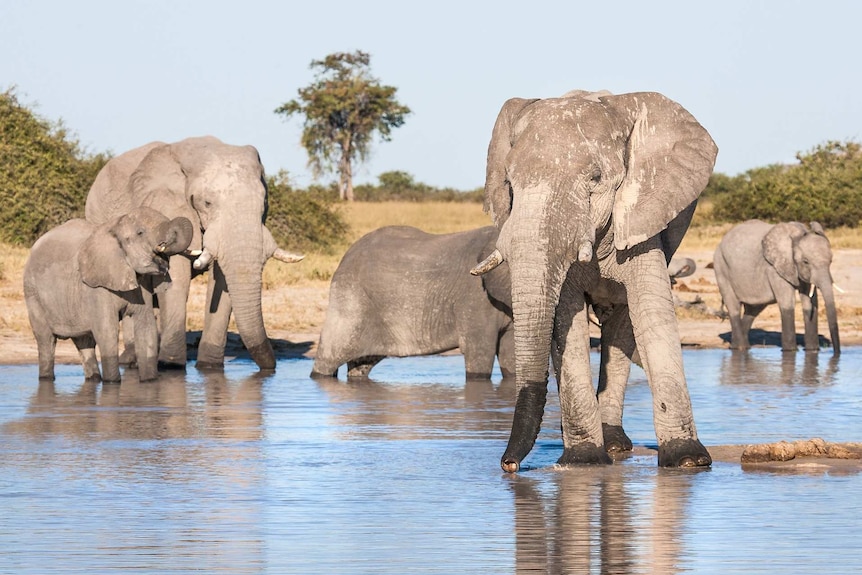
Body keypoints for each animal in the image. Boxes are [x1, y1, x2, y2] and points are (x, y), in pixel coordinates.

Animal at [23, 206, 194, 382]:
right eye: (140, 233)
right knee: (46, 340)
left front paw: (149, 382)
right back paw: (46, 378)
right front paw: (112, 383)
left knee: (85, 342)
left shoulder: (143, 283)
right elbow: (107, 331)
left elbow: (146, 328)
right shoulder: (96, 287)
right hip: (33, 293)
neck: (115, 227)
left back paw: (94, 379)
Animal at [82, 138, 302, 374]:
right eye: (207, 203)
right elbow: (177, 277)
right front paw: (171, 367)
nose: (271, 369)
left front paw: (209, 368)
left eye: (263, 203)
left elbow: (222, 282)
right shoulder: (167, 206)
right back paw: (131, 361)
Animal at [310, 226, 512, 382]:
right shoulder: (474, 299)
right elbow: (479, 355)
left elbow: (509, 358)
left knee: (361, 364)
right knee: (329, 357)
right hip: (349, 301)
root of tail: (345, 256)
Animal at [472, 88, 716, 470]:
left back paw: (616, 445)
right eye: (509, 184)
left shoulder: (641, 215)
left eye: (595, 179)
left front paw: (687, 460)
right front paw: (583, 460)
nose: (509, 465)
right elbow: (565, 323)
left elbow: (652, 313)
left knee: (622, 324)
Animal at [716, 220, 844, 356]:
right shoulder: (774, 269)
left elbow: (810, 302)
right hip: (721, 267)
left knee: (753, 309)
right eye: (805, 262)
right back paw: (739, 348)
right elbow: (787, 303)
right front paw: (790, 351)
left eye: (830, 261)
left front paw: (812, 351)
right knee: (733, 306)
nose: (836, 353)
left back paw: (739, 347)